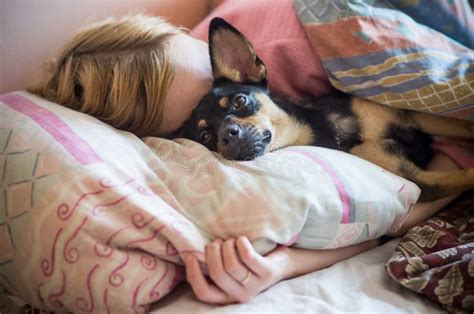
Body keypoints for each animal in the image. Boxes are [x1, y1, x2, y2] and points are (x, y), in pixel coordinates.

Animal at [179, 17, 474, 201]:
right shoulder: (418, 180)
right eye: (206, 137)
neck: (335, 131)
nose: (226, 136)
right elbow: (464, 175)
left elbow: (461, 123)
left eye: (240, 101)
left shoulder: (417, 115)